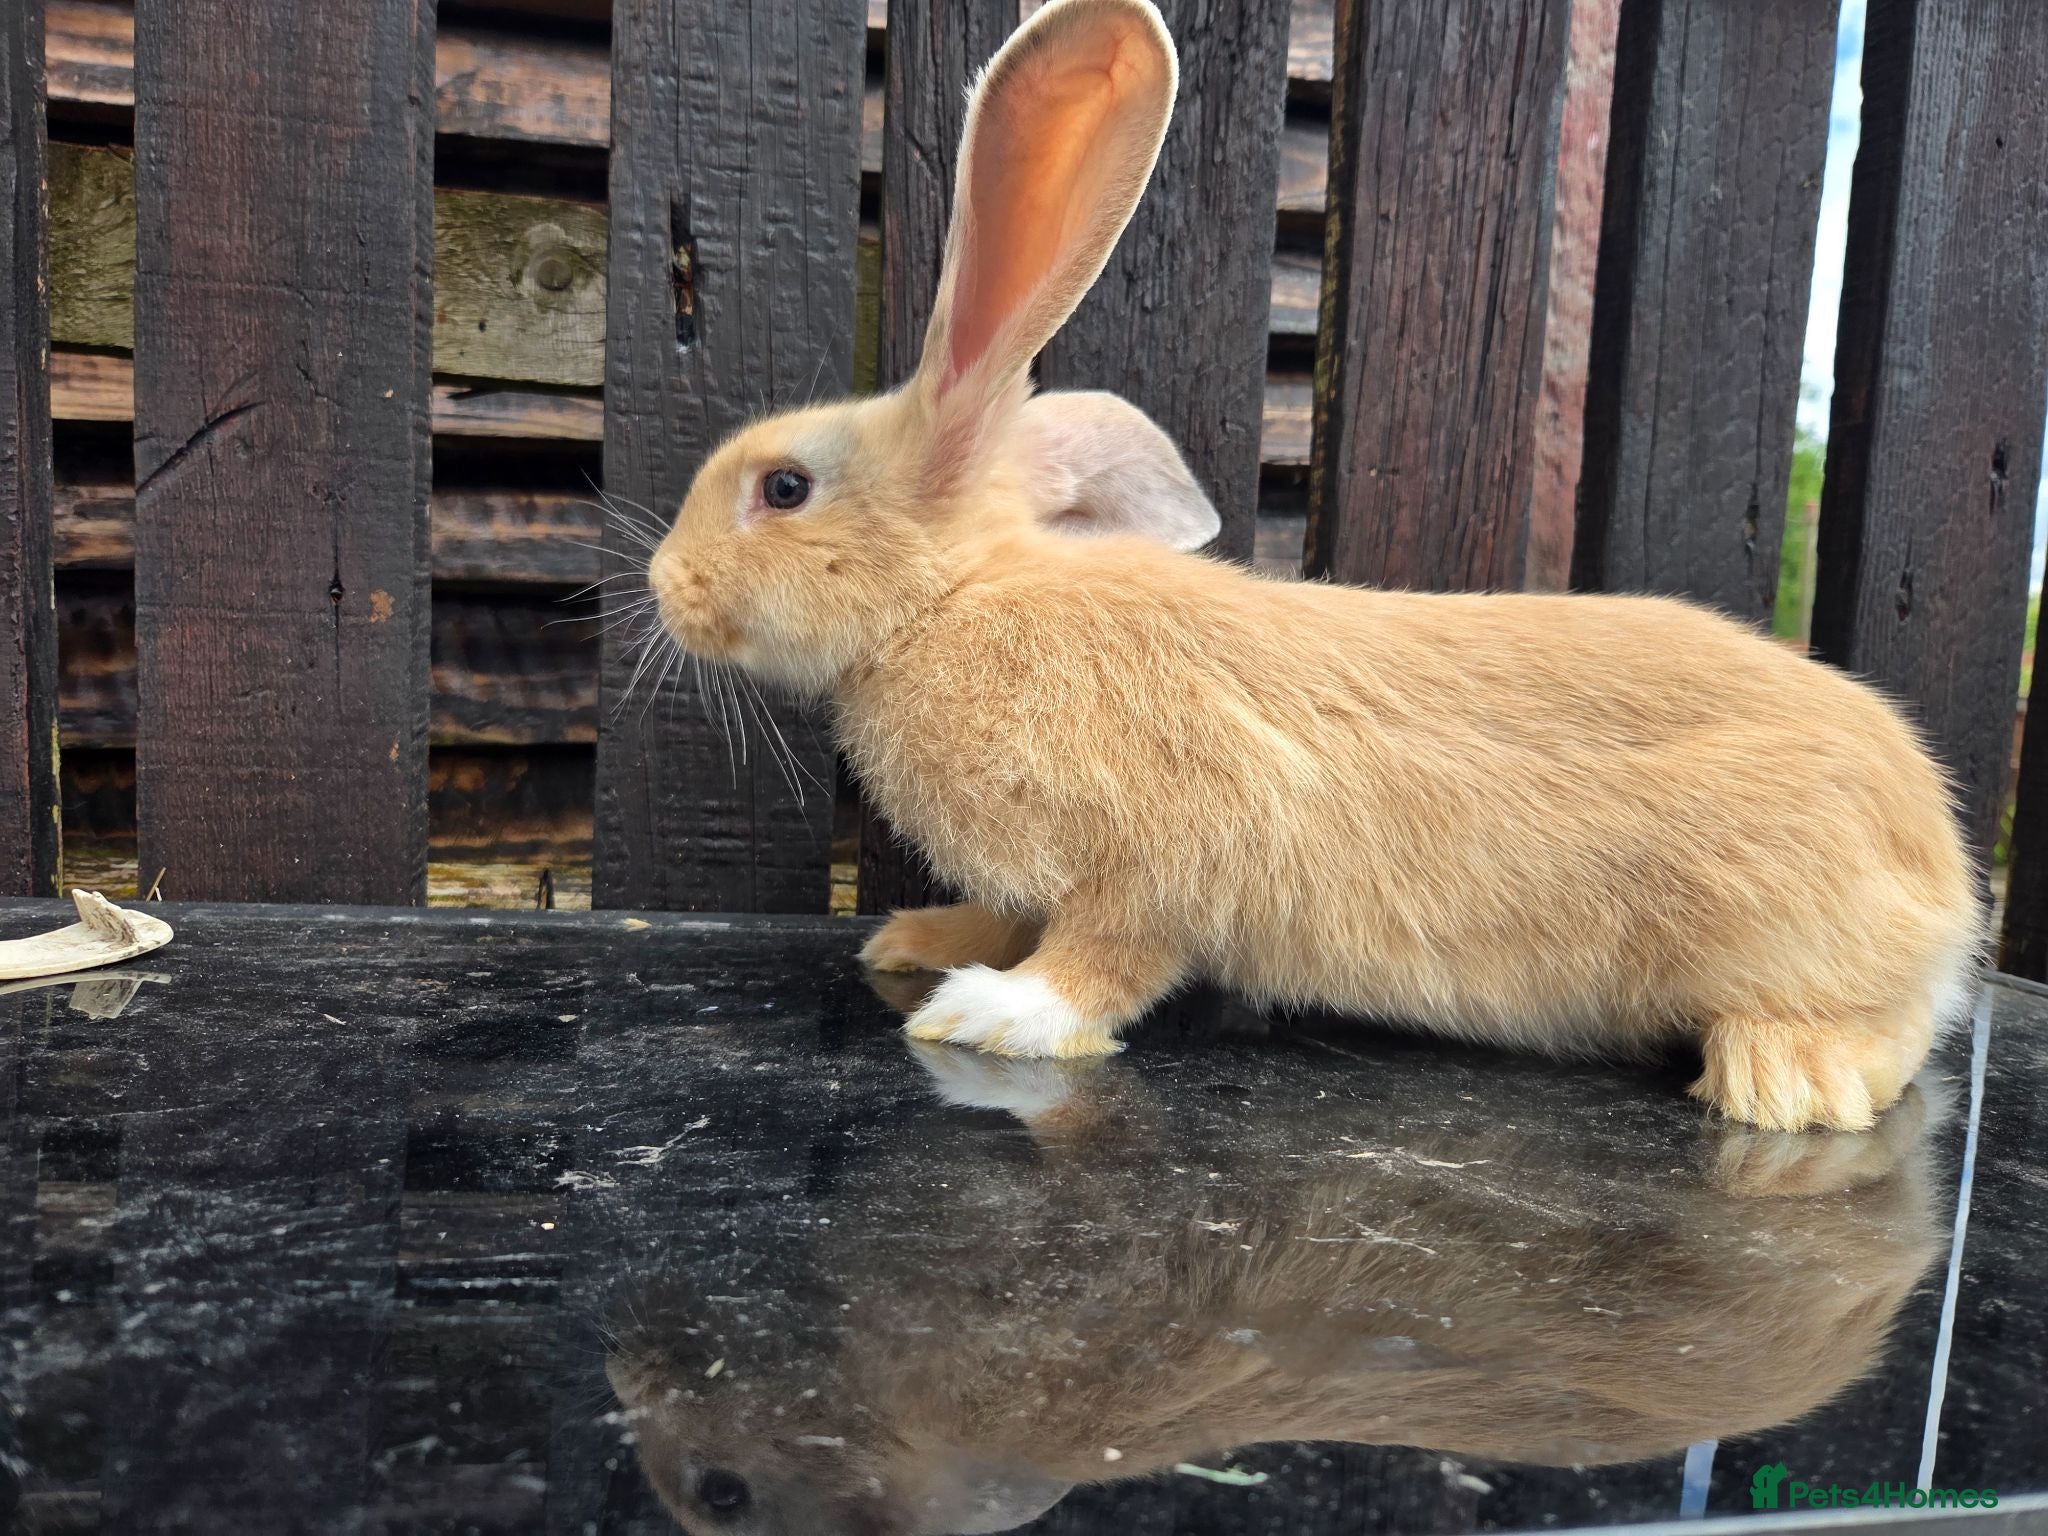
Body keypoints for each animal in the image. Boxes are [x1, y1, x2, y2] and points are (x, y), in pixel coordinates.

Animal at [641, 0, 1986, 1132]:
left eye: (783, 487)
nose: (662, 586)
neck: (953, 602)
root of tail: (1945, 882)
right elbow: (1020, 913)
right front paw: (922, 937)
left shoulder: (1166, 856)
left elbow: (1108, 957)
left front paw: (990, 1010)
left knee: (1883, 1039)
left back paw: (1780, 1077)